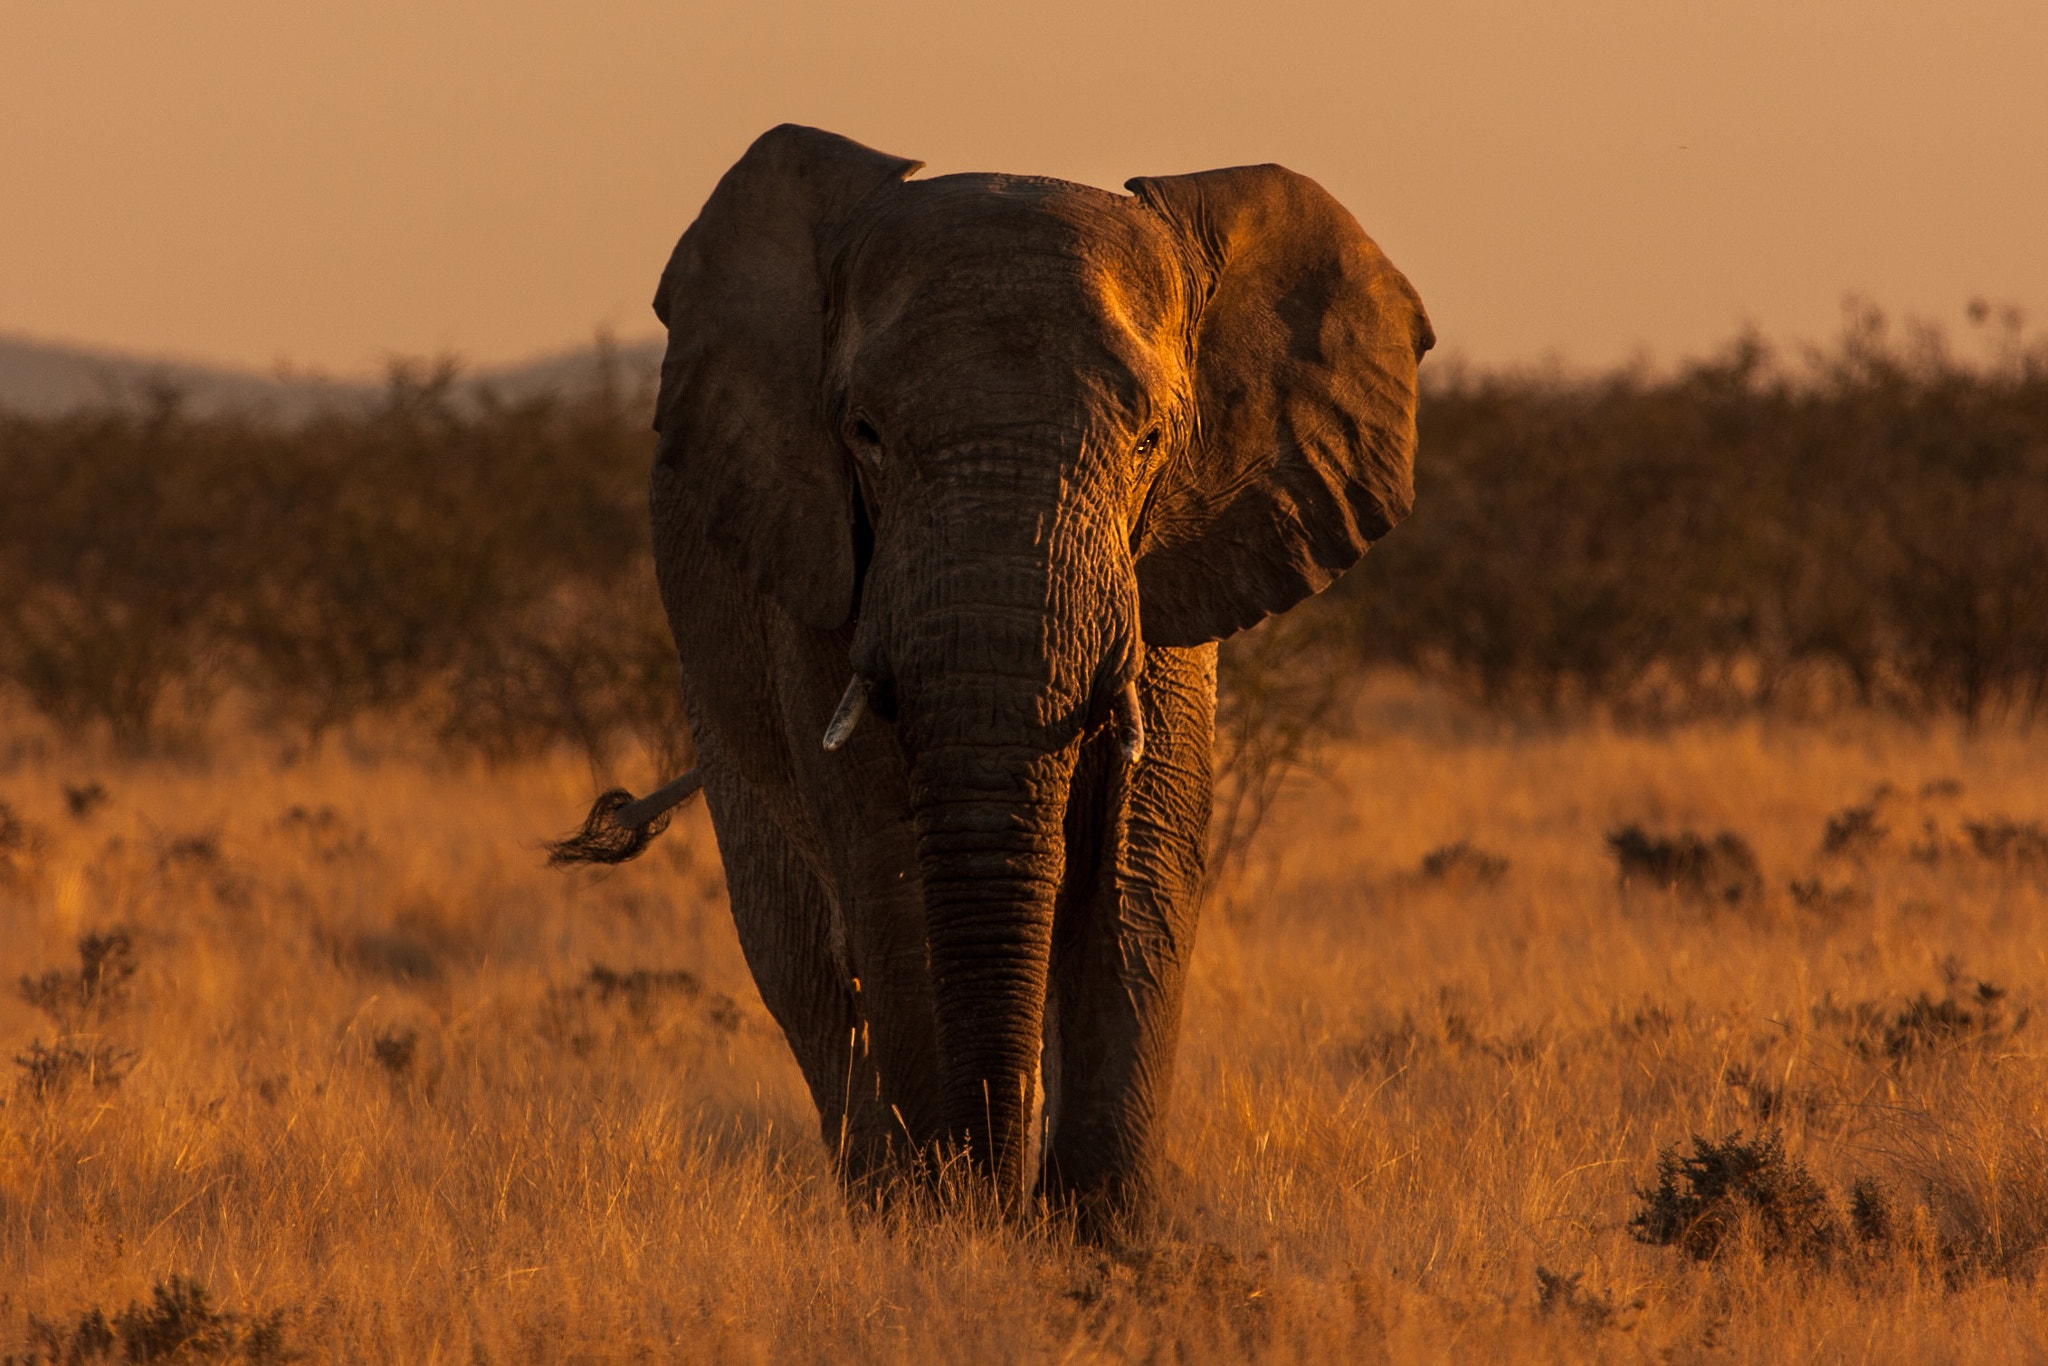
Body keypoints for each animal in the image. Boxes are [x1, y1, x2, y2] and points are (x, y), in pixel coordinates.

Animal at [552, 125, 1433, 1228]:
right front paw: (946, 1228)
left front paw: (1099, 1234)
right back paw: (876, 1195)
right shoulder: (820, 566)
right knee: (799, 962)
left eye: (1150, 439)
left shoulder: (1166, 575)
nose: (1004, 1196)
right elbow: (885, 859)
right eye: (864, 434)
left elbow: (1139, 856)